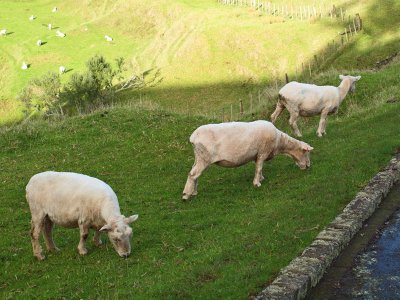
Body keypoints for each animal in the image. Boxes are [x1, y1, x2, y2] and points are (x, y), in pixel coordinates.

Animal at [183, 119, 314, 199]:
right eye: (306, 153)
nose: (308, 167)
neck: (279, 142)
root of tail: (193, 137)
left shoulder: (257, 155)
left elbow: (258, 168)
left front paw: (261, 178)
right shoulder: (263, 152)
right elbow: (259, 167)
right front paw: (257, 183)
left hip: (199, 157)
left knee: (194, 174)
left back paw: (193, 192)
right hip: (204, 158)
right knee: (193, 174)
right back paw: (186, 195)